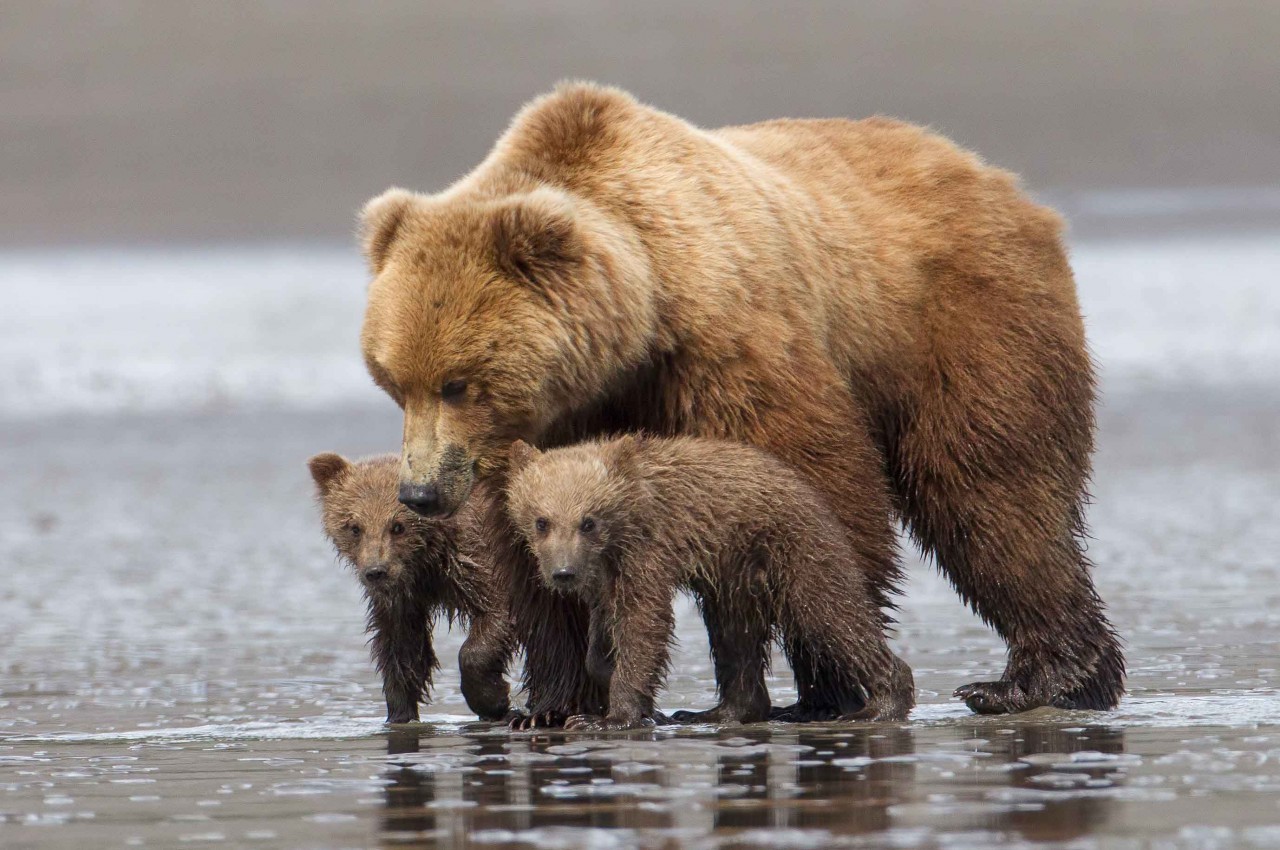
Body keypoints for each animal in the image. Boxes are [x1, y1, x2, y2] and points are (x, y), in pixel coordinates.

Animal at [307, 450, 512, 721]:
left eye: (397, 526)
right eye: (354, 527)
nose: (376, 571)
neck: (427, 561)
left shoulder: (479, 560)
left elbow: (497, 613)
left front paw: (492, 699)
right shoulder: (403, 596)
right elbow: (401, 648)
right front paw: (400, 713)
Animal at [504, 437, 916, 732]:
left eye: (587, 521)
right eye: (542, 521)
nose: (563, 573)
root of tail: (811, 490)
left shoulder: (648, 547)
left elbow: (643, 621)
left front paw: (606, 718)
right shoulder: (604, 574)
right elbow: (603, 631)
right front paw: (627, 690)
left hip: (795, 547)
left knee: (832, 613)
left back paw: (880, 705)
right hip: (737, 571)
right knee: (734, 636)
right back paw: (717, 712)